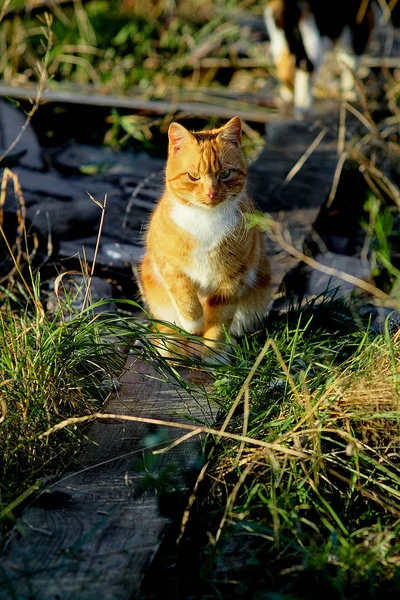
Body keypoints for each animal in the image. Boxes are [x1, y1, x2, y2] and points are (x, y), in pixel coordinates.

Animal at [138, 117, 272, 360]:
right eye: (193, 176)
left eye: (226, 174)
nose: (211, 193)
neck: (206, 220)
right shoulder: (169, 265)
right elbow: (185, 296)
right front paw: (194, 323)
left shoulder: (232, 279)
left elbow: (219, 320)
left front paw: (213, 355)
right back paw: (170, 347)